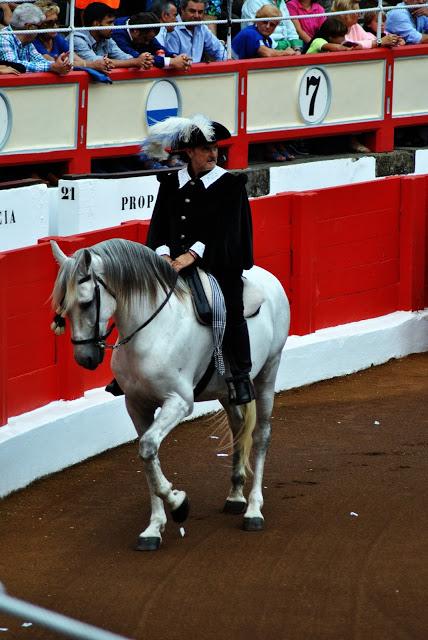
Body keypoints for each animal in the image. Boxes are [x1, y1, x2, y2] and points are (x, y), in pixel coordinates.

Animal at [51, 239, 290, 552]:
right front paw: (154, 527)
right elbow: (147, 454)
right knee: (239, 425)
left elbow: (148, 447)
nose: (85, 358)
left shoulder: (178, 402)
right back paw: (235, 495)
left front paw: (179, 505)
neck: (151, 330)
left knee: (261, 434)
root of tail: (270, 278)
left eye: (87, 302)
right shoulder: (136, 405)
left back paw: (253, 510)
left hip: (268, 371)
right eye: (63, 309)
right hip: (226, 390)